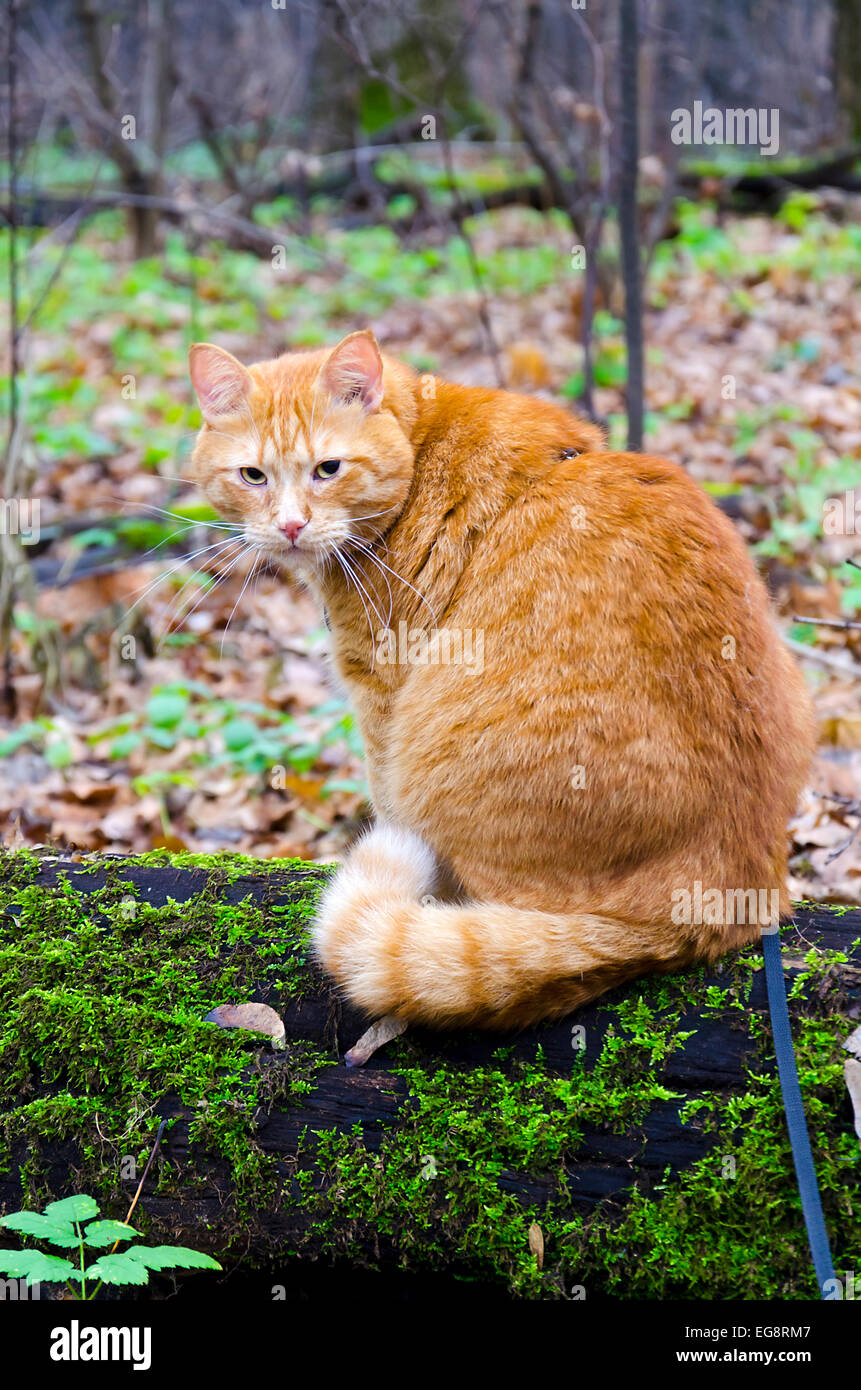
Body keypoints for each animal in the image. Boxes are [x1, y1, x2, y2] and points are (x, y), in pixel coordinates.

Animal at [189, 333, 817, 1034]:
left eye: (328, 468)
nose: (291, 526)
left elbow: (386, 804)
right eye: (253, 476)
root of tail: (724, 898)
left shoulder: (382, 693)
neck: (422, 445)